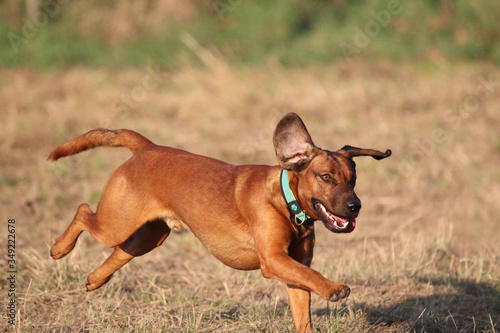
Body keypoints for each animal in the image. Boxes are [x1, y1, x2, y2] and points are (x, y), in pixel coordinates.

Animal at [48, 113, 390, 330]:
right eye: (325, 177)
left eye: (353, 178)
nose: (356, 206)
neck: (287, 202)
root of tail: (148, 147)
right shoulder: (273, 260)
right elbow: (314, 276)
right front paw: (334, 288)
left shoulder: (294, 269)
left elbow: (304, 305)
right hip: (116, 222)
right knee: (82, 211)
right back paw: (60, 248)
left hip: (148, 237)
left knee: (120, 252)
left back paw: (95, 279)